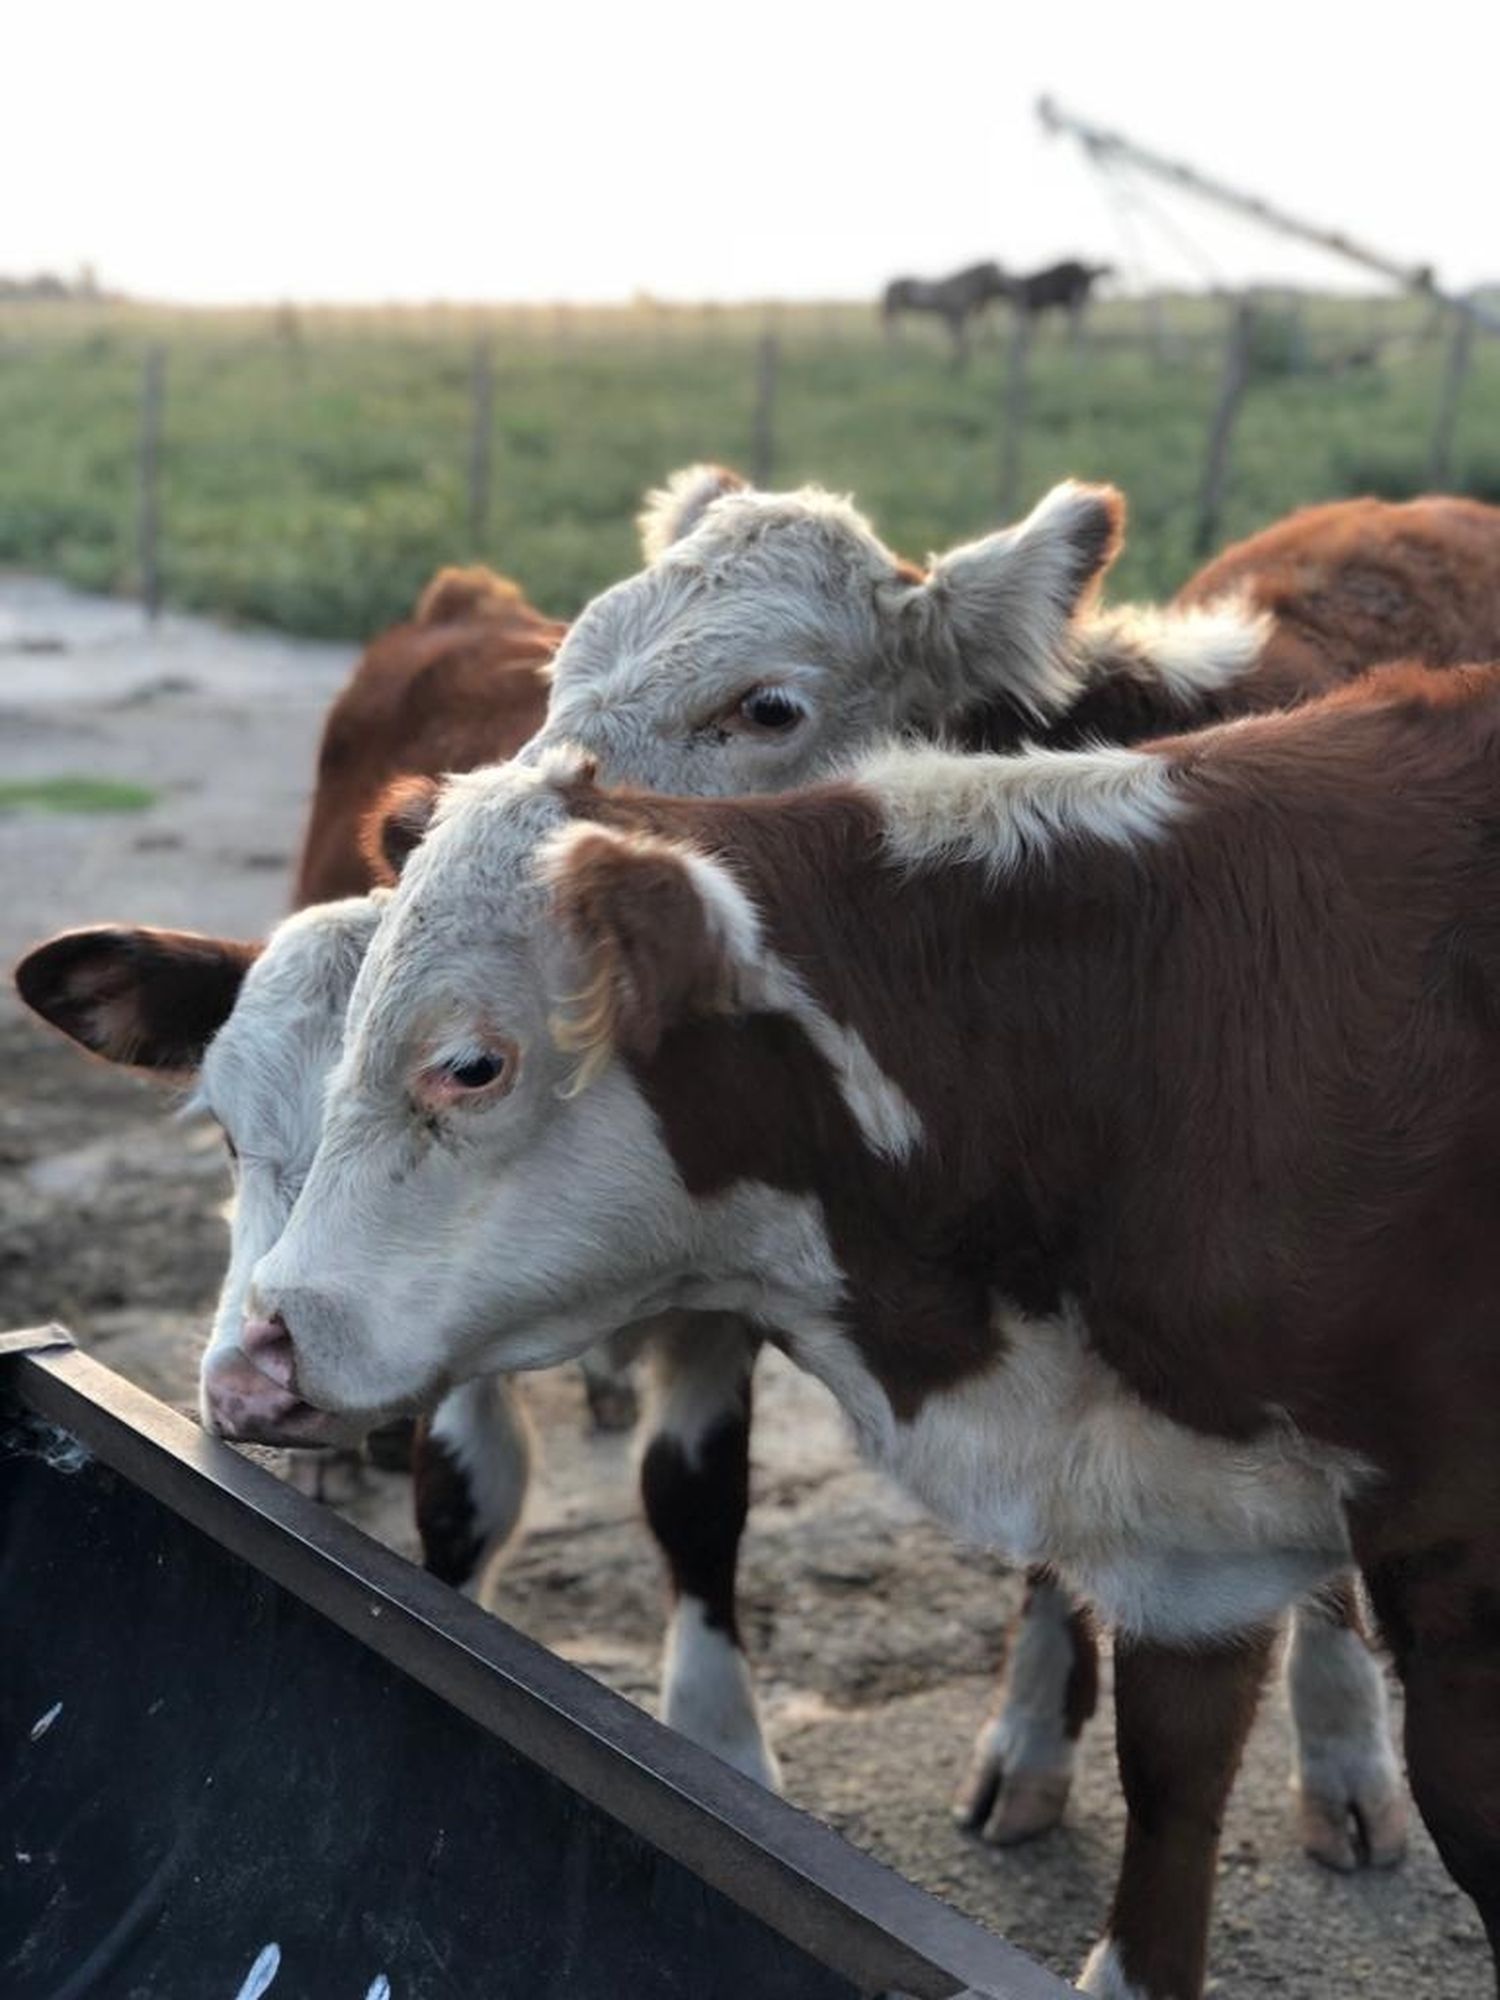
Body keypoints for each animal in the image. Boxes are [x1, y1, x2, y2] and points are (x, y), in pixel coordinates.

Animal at [880, 260, 1012, 366]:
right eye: (999, 274)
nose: (1008, 288)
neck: (962, 286)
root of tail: (890, 283)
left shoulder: (954, 317)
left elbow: (960, 339)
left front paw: (960, 361)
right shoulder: (955, 316)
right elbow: (960, 339)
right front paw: (958, 362)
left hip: (895, 311)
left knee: (894, 330)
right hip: (893, 309)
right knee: (891, 330)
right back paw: (894, 353)